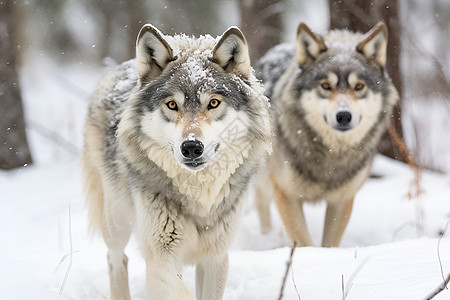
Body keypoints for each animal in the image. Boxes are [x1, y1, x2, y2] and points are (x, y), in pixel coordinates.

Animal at [81, 24, 270, 300]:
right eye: (172, 104)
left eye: (213, 103)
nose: (191, 147)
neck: (198, 194)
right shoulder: (160, 261)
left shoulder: (215, 258)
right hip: (116, 221)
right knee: (116, 259)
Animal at [255, 20, 400, 246]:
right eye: (325, 86)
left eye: (359, 87)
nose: (344, 116)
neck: (332, 156)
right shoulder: (286, 194)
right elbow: (304, 241)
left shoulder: (342, 200)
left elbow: (330, 244)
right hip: (262, 178)